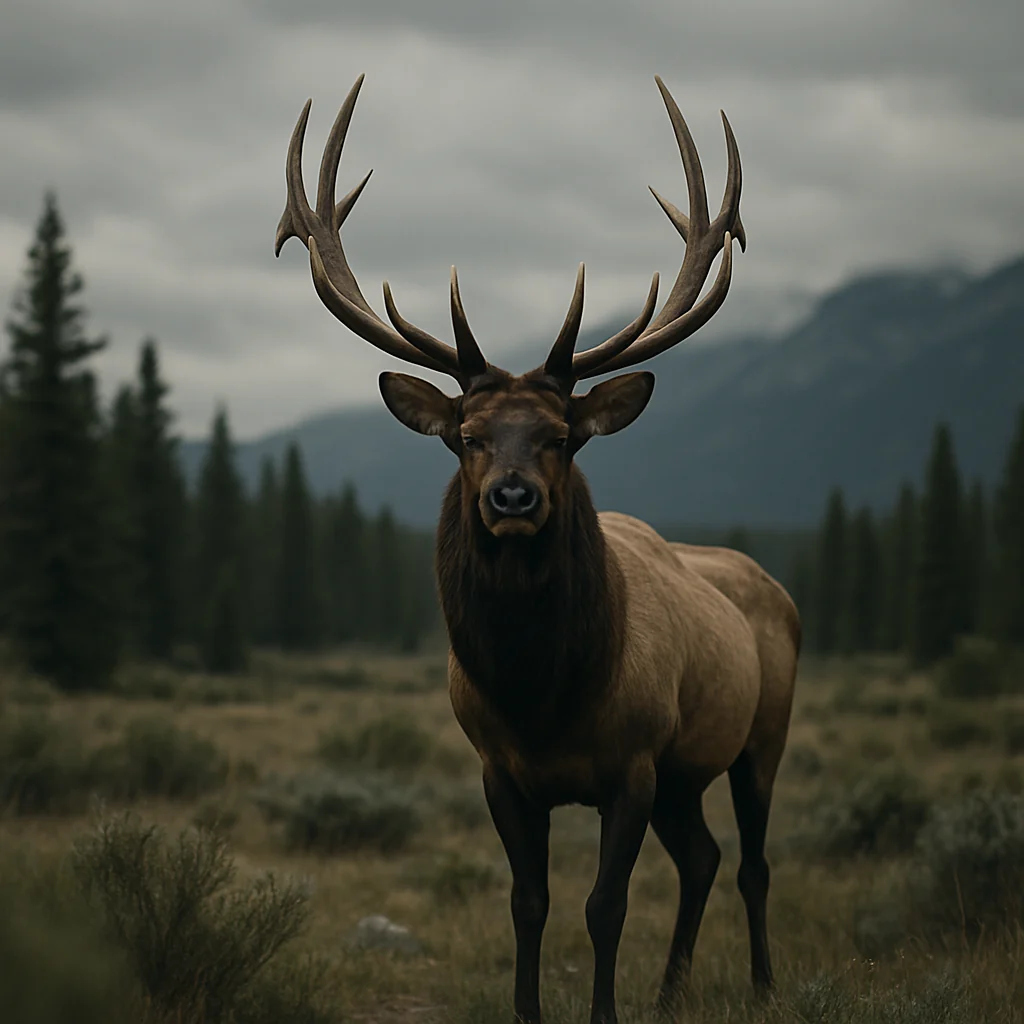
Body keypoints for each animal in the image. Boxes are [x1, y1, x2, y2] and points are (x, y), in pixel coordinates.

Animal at [275, 73, 801, 1024]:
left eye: (560, 436)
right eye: (468, 437)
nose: (512, 497)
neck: (542, 692)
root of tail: (776, 589)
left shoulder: (632, 763)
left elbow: (604, 906)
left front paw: (604, 1010)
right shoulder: (501, 769)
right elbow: (529, 902)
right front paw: (530, 1007)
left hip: (759, 737)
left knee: (750, 861)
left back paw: (763, 984)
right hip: (686, 774)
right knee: (703, 857)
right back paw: (671, 991)